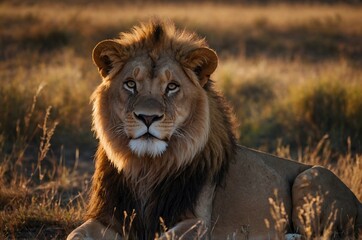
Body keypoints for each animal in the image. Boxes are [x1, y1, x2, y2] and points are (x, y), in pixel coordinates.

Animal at [68, 19, 362, 239]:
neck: (147, 167)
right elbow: (75, 234)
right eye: (130, 84)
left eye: (172, 87)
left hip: (313, 175)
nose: (147, 117)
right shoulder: (108, 216)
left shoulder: (198, 222)